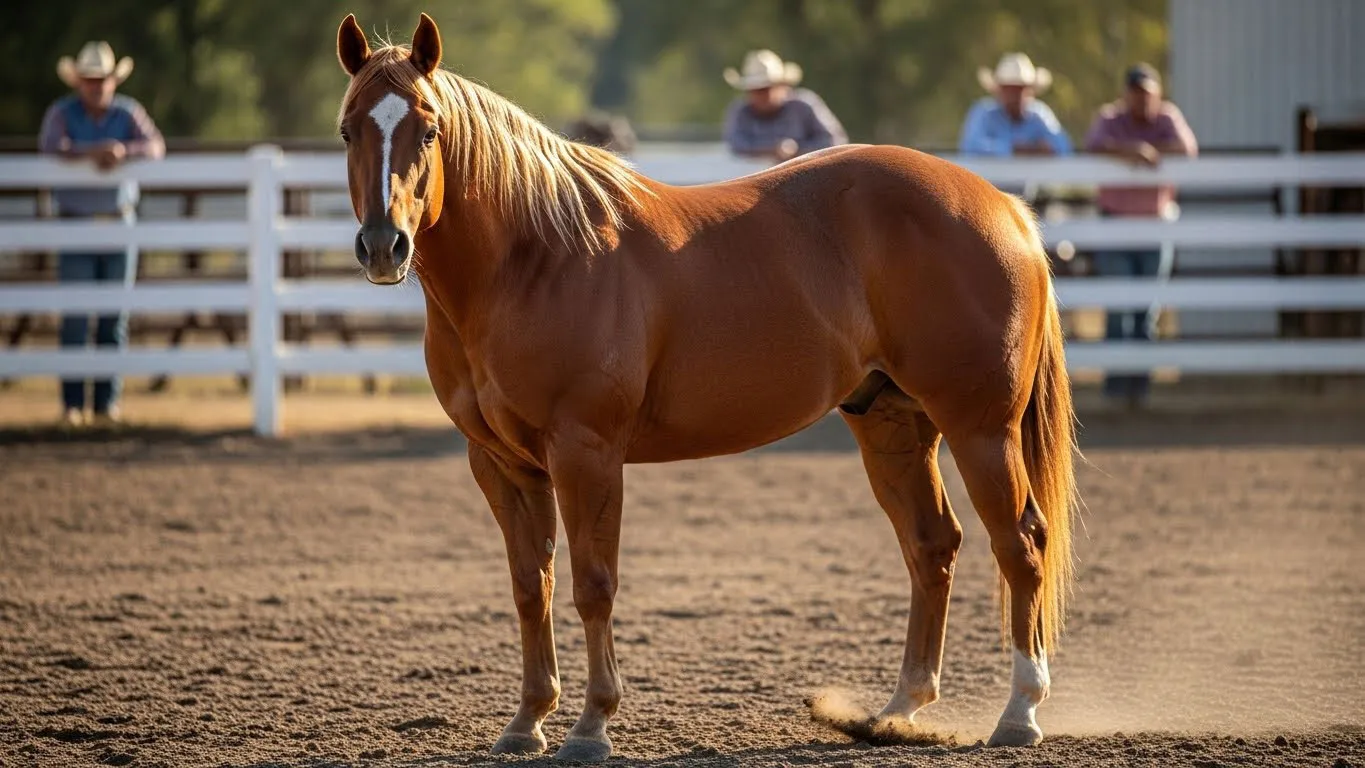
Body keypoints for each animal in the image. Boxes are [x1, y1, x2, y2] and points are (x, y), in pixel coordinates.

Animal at [335, 13, 1078, 762]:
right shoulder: (500, 463)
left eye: (430, 128)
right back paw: (898, 711)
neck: (535, 259)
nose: (383, 245)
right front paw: (526, 722)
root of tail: (1003, 207)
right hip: (892, 425)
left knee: (1020, 544)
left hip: (980, 429)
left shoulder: (585, 453)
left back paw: (1019, 712)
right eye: (347, 130)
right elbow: (529, 586)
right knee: (931, 545)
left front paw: (591, 725)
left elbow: (592, 585)